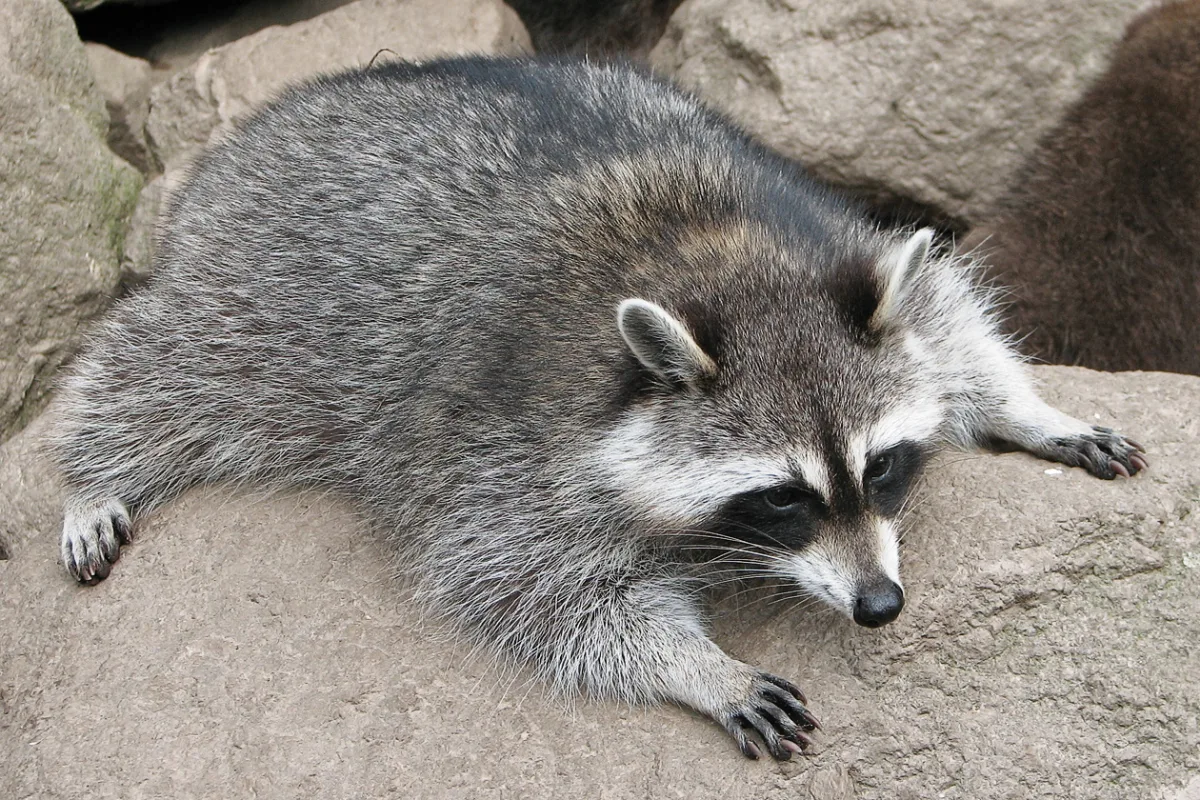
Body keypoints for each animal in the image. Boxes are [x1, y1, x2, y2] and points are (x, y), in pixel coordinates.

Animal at [53, 57, 1145, 760]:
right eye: (784, 498)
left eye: (882, 467)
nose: (880, 605)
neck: (718, 257)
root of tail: (253, 137)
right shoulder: (505, 445)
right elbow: (530, 583)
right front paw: (697, 664)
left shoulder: (838, 242)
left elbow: (953, 327)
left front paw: (1030, 407)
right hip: (271, 302)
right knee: (169, 364)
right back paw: (90, 467)